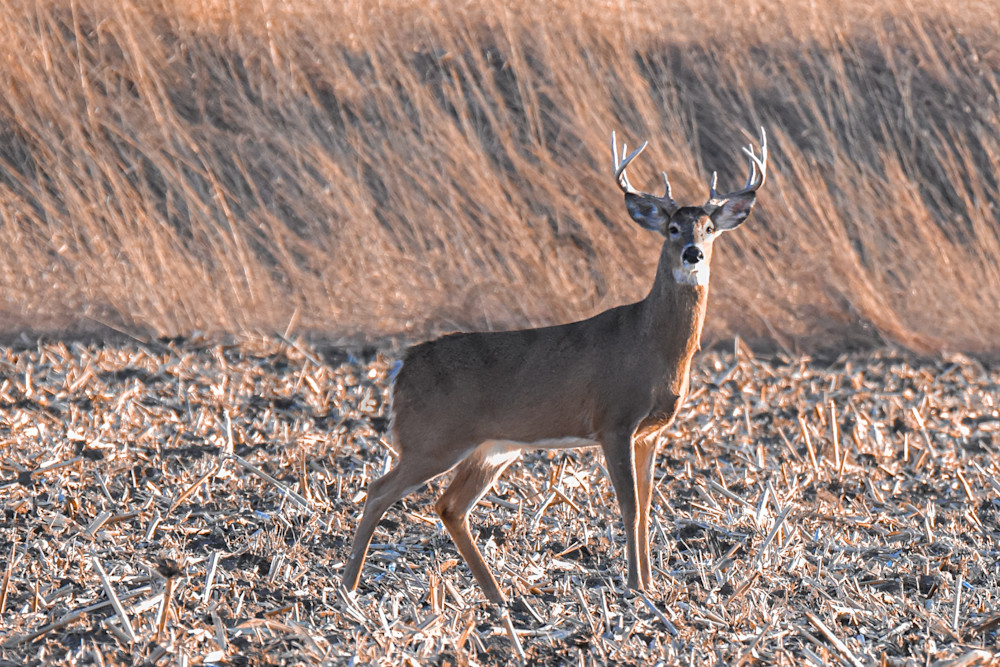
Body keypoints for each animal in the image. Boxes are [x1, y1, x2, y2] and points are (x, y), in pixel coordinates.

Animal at [342, 129, 768, 605]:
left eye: (709, 229)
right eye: (672, 228)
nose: (693, 254)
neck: (652, 344)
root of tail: (402, 366)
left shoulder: (651, 430)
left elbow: (647, 505)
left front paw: (652, 585)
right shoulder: (614, 419)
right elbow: (629, 506)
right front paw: (635, 588)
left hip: (491, 447)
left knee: (449, 505)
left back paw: (498, 597)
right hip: (432, 438)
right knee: (379, 491)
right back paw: (349, 587)